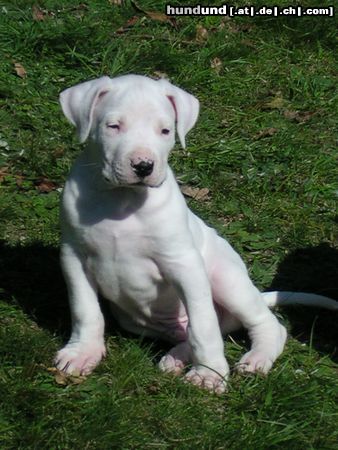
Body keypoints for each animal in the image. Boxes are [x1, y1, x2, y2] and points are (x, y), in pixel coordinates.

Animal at [54, 75, 336, 392]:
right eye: (113, 126)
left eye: (165, 131)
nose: (143, 165)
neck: (122, 201)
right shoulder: (74, 257)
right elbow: (85, 309)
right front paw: (82, 352)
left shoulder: (183, 264)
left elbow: (203, 325)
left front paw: (209, 374)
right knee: (196, 330)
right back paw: (176, 357)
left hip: (227, 279)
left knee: (264, 325)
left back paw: (255, 358)